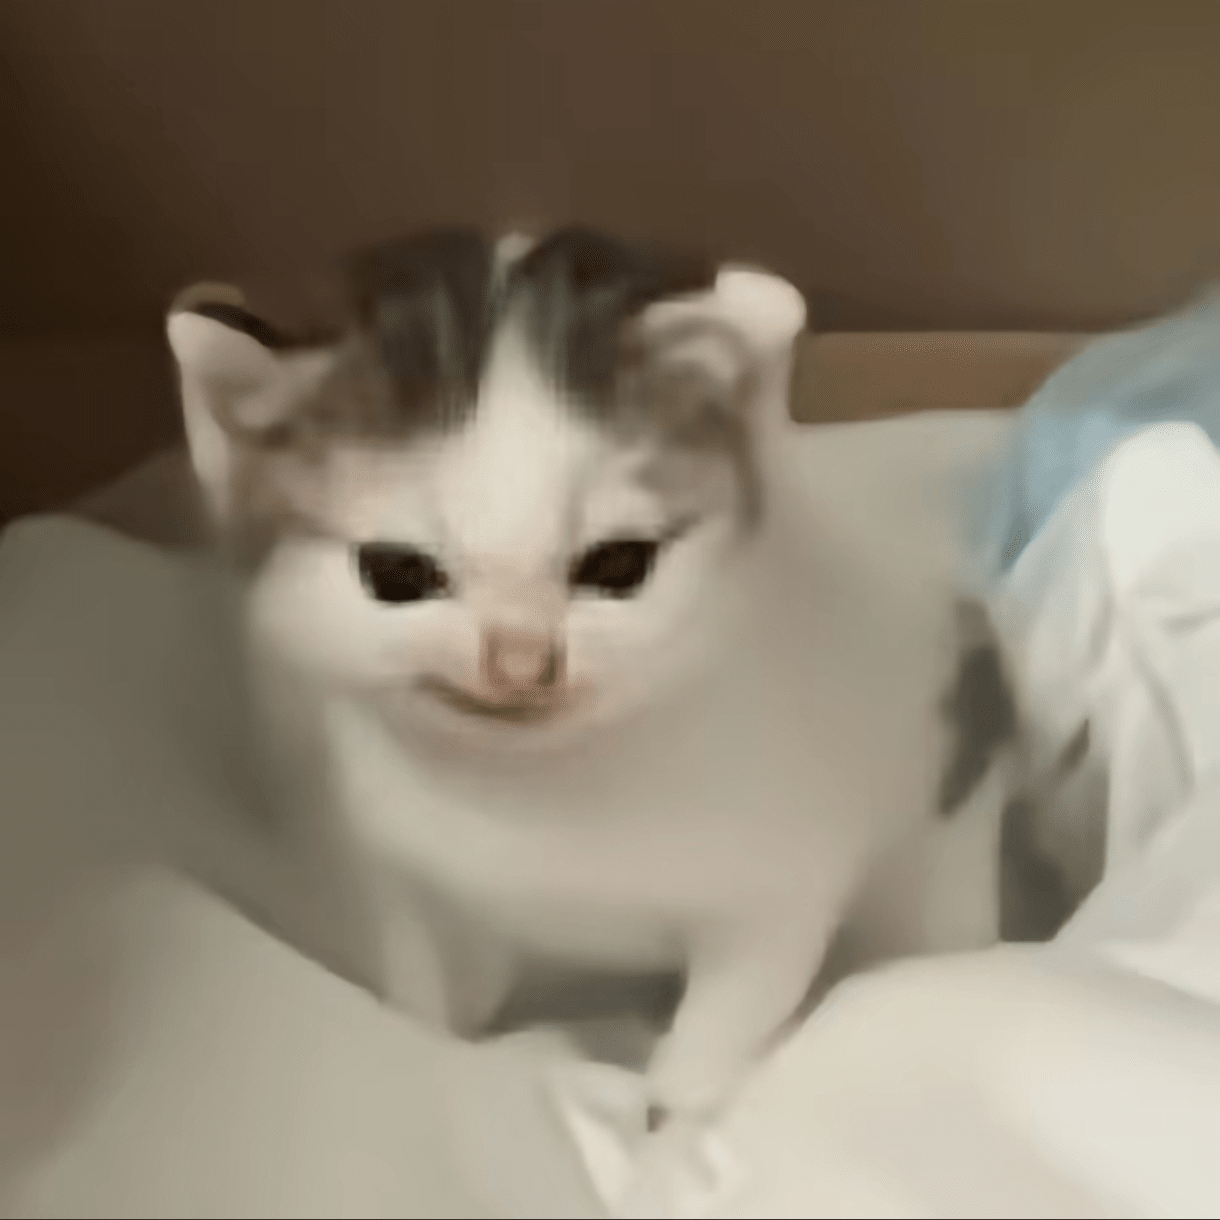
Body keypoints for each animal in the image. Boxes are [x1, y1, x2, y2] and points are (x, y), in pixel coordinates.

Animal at [167, 225, 1002, 1130]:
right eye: (395, 574)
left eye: (619, 565)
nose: (520, 663)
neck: (541, 795)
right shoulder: (406, 873)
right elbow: (423, 989)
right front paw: (427, 1046)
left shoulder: (778, 894)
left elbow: (718, 1032)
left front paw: (671, 1125)